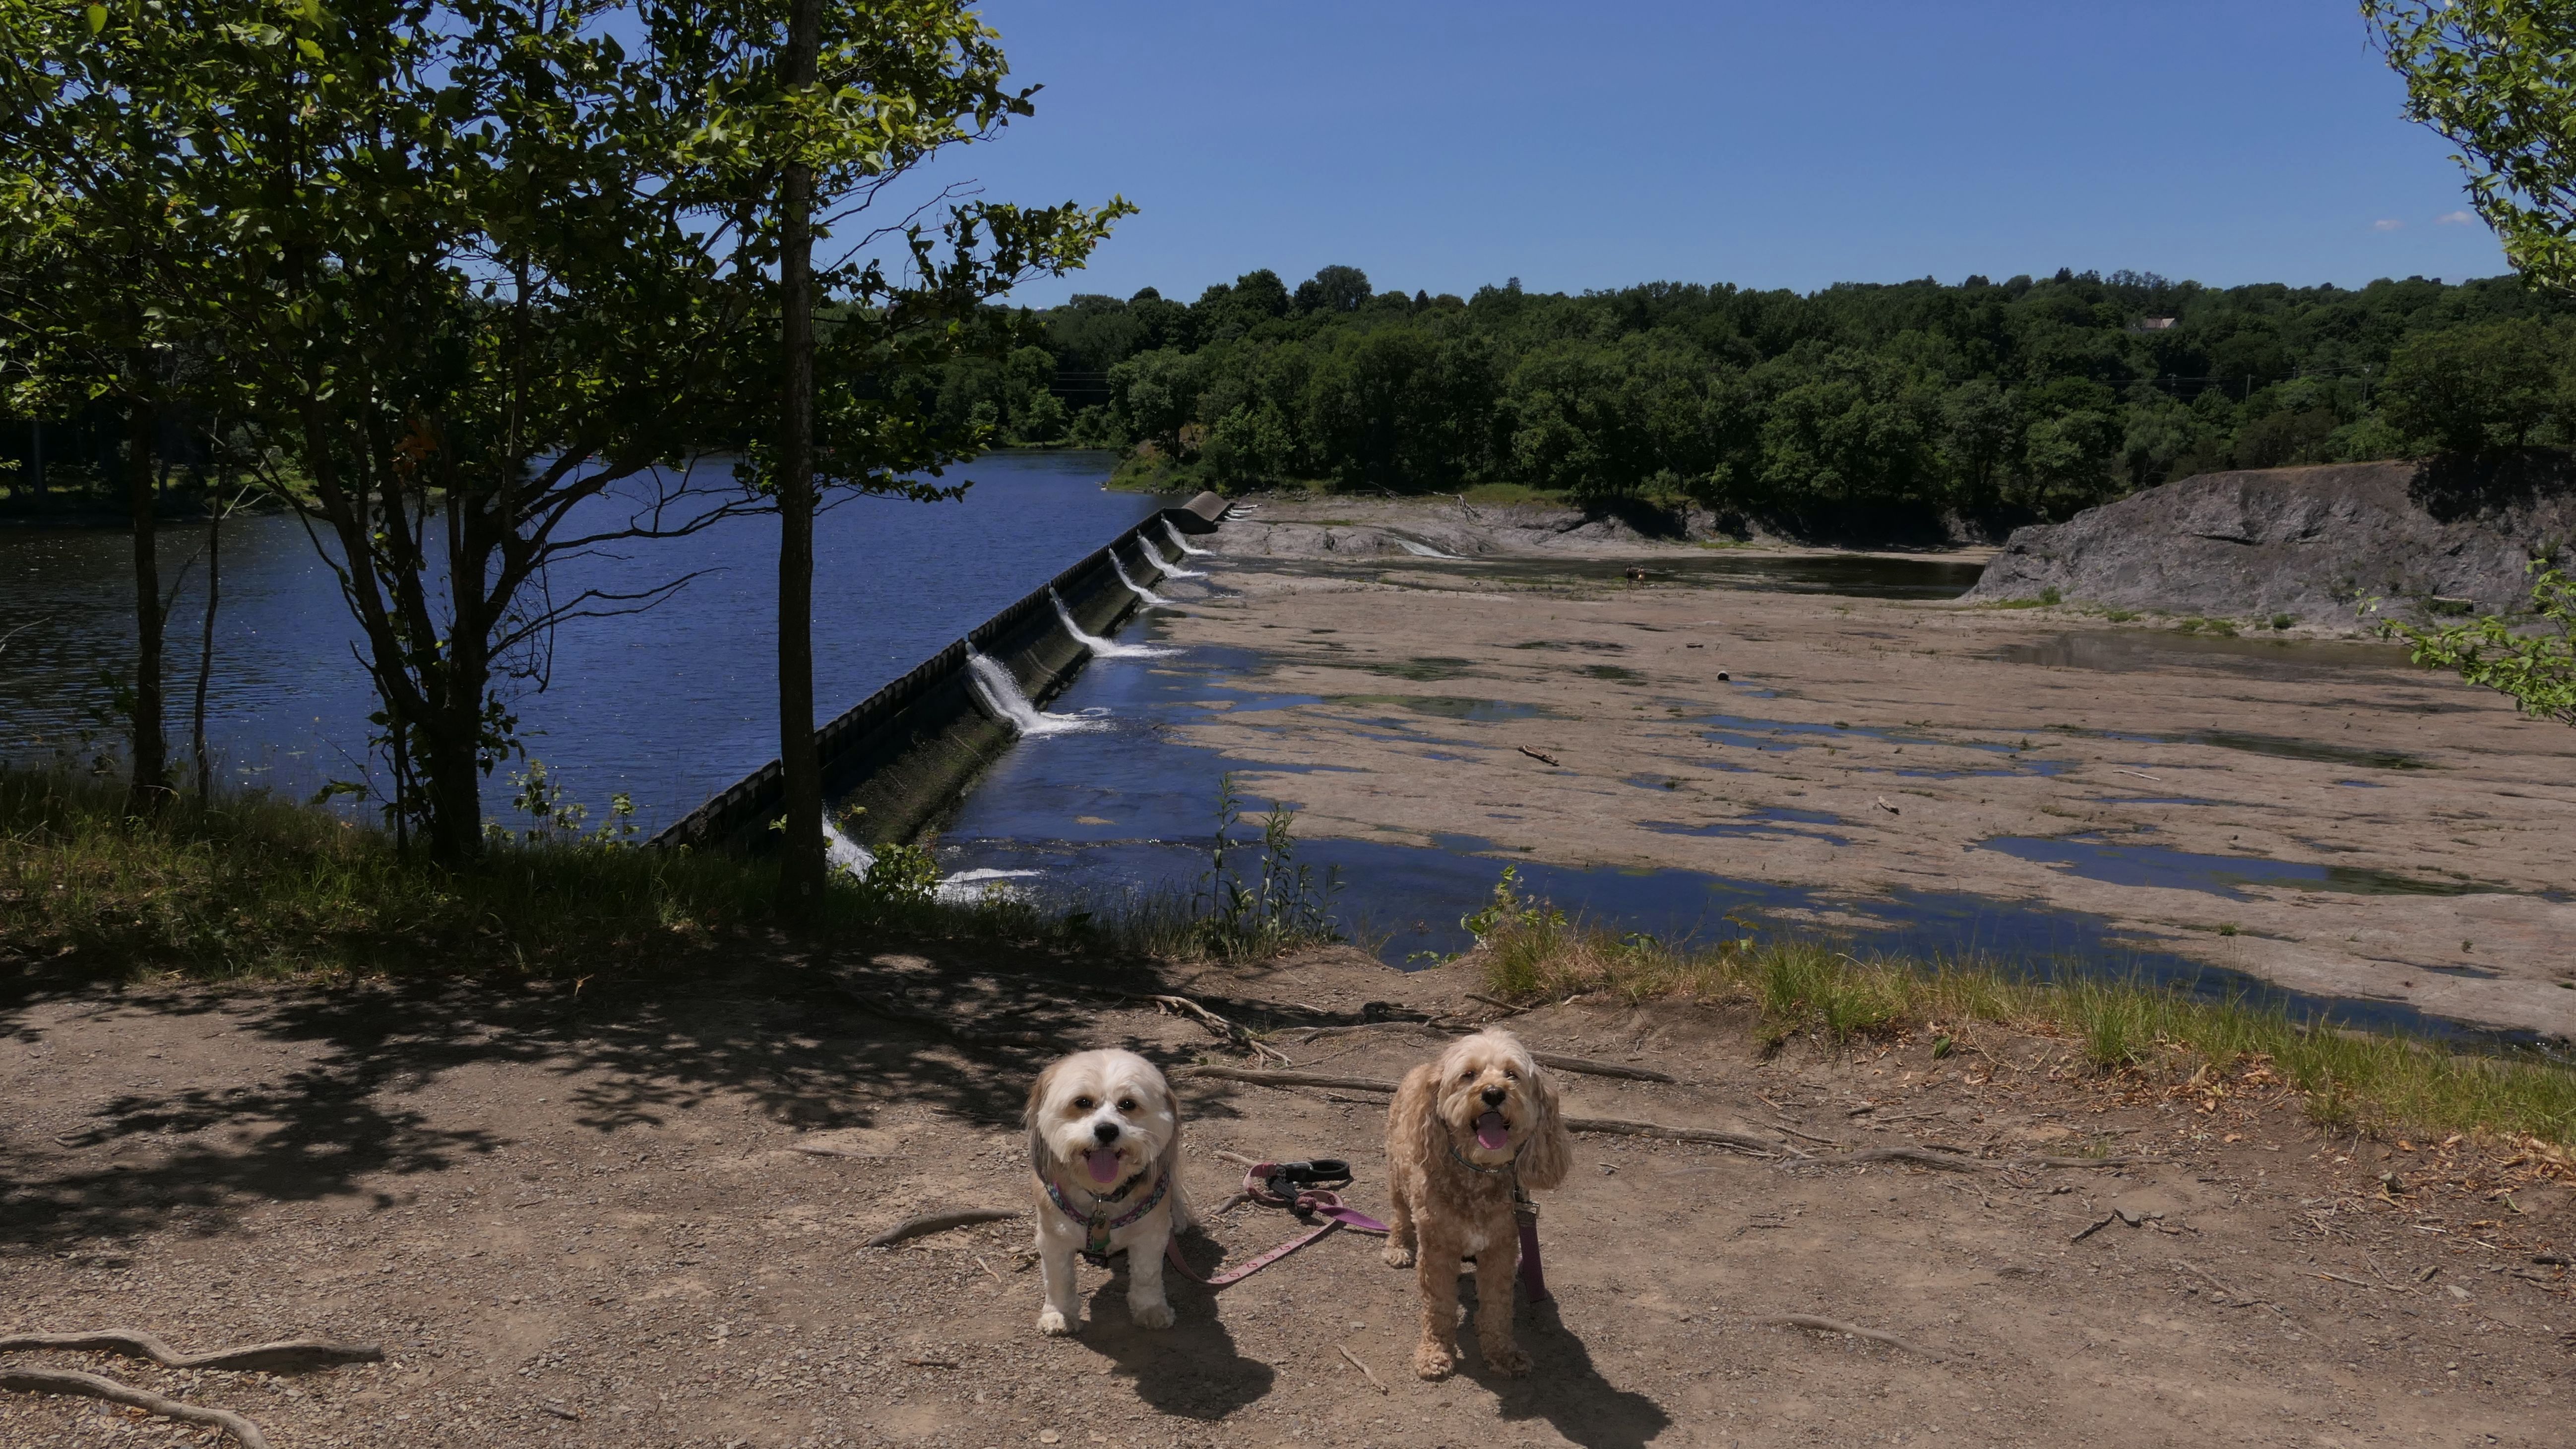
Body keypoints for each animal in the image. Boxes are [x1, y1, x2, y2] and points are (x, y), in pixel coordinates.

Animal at [1024, 1048, 1194, 1336]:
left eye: (1128, 1104)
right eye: (1082, 1102)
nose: (1106, 1130)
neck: (1103, 1197)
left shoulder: (1151, 1235)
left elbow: (1147, 1276)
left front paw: (1151, 1310)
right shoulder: (1052, 1238)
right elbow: (1059, 1280)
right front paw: (1059, 1314)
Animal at [1381, 1029, 1570, 1379]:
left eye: (1512, 1074)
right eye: (1468, 1075)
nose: (1494, 1093)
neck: (1478, 1172)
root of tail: (1423, 1067)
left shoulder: (1501, 1248)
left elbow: (1497, 1306)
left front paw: (1502, 1353)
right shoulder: (1437, 1250)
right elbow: (1439, 1306)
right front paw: (1435, 1352)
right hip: (1398, 1175)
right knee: (1400, 1215)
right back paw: (1398, 1247)